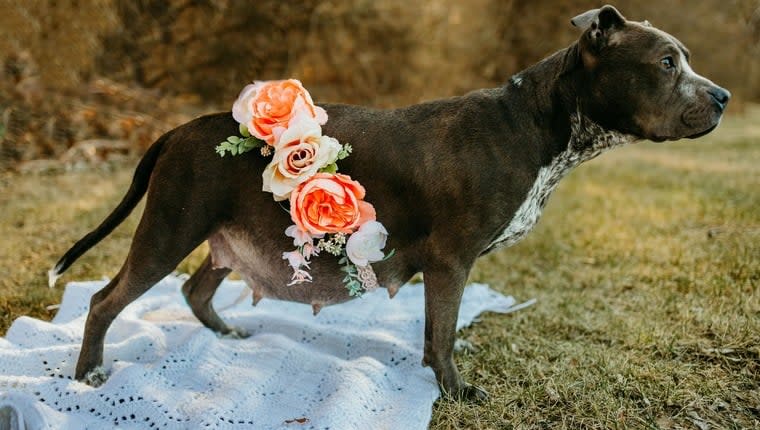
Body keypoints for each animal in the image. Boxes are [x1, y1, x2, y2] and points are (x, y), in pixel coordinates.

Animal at [49, 5, 732, 400]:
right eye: (666, 63)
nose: (723, 95)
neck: (537, 122)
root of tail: (176, 130)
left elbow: (438, 330)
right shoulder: (452, 261)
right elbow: (442, 333)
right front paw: (455, 392)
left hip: (229, 234)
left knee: (195, 290)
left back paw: (226, 333)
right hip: (172, 225)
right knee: (105, 300)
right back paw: (89, 375)